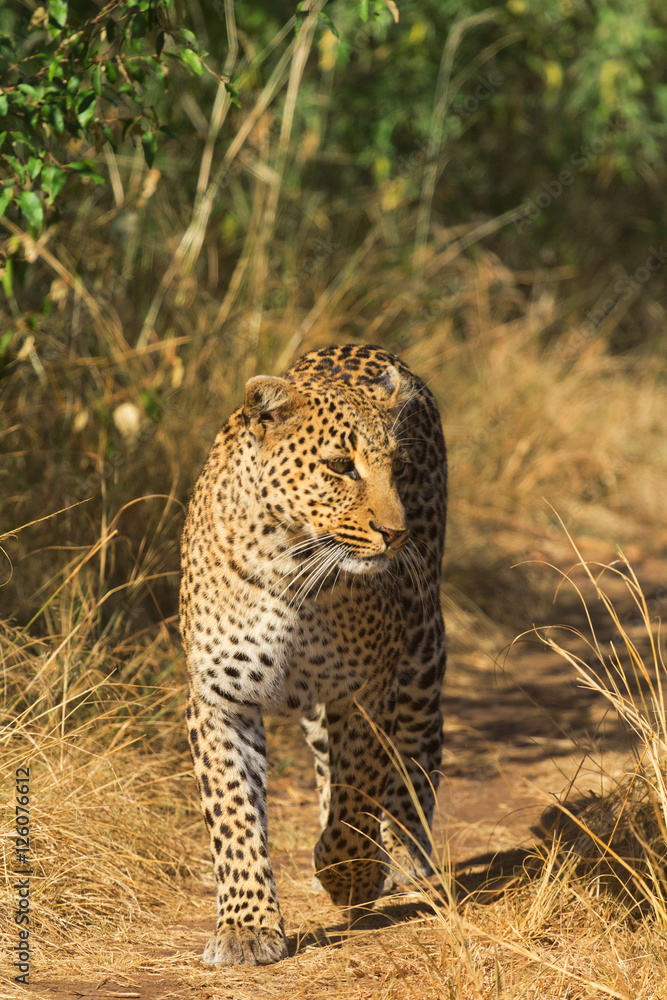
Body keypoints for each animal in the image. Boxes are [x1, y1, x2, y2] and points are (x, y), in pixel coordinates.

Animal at [179, 343, 447, 966]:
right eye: (341, 466)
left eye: (398, 469)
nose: (396, 533)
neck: (290, 564)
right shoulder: (218, 698)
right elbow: (233, 812)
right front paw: (246, 927)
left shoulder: (367, 686)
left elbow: (359, 789)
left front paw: (349, 872)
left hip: (422, 653)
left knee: (416, 757)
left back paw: (406, 854)